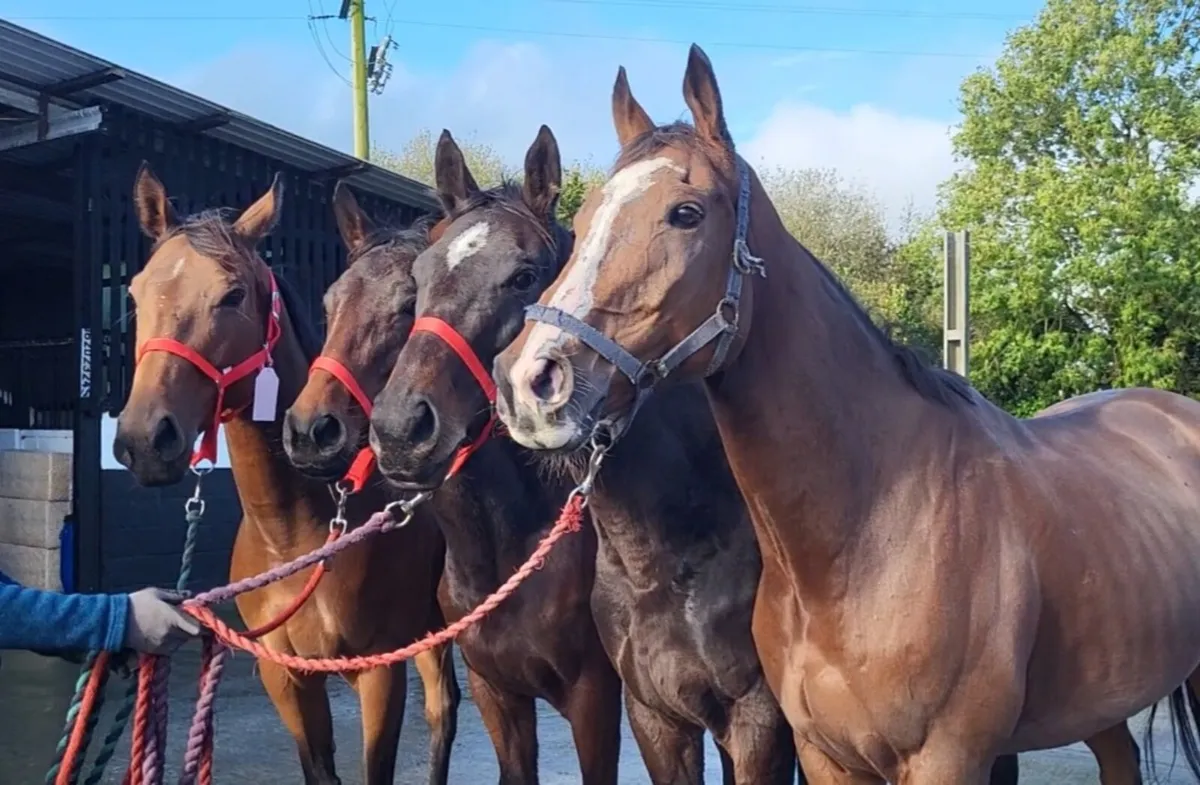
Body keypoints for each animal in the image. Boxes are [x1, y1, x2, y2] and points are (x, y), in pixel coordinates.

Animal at [112, 164, 459, 785]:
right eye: (135, 291)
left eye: (232, 294)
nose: (143, 439)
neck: (299, 538)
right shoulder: (286, 679)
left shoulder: (379, 673)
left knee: (444, 711)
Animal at [493, 46, 1168, 785]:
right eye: (582, 222)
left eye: (686, 213)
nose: (530, 379)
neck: (866, 540)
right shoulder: (823, 754)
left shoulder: (944, 757)